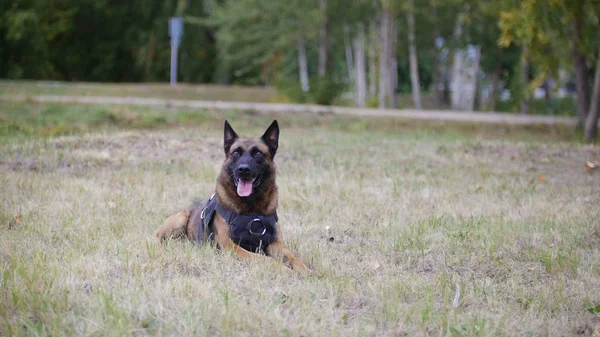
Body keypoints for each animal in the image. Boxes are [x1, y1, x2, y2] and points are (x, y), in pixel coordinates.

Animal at [155, 119, 310, 274]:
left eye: (258, 153)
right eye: (235, 153)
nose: (243, 169)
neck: (252, 209)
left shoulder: (276, 245)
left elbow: (294, 258)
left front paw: (305, 271)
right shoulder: (231, 247)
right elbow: (264, 259)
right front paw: (284, 270)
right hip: (178, 222)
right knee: (157, 235)